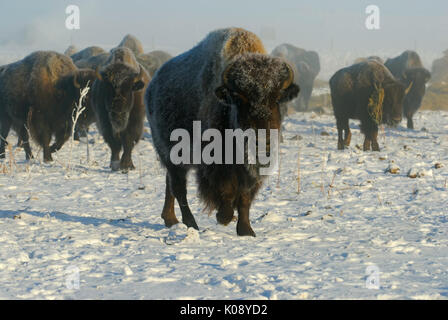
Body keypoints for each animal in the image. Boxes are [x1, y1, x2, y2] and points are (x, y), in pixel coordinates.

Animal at [145, 27, 300, 236]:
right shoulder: (215, 164)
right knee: (179, 189)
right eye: (239, 99)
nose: (261, 141)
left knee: (170, 186)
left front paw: (246, 230)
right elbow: (226, 191)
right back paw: (190, 223)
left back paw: (170, 220)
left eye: (277, 99)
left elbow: (244, 198)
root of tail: (151, 87)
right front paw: (224, 217)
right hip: (171, 155)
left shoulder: (250, 171)